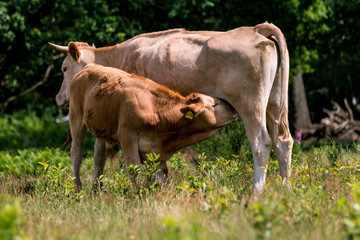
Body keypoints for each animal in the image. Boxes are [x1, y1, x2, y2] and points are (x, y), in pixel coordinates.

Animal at [69, 63, 240, 189]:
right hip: (76, 119)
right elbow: (134, 169)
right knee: (76, 154)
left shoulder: (157, 153)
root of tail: (90, 66)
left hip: (101, 128)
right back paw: (77, 188)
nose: (235, 110)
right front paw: (137, 195)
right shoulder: (127, 137)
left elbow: (162, 177)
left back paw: (96, 189)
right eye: (215, 104)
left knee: (99, 158)